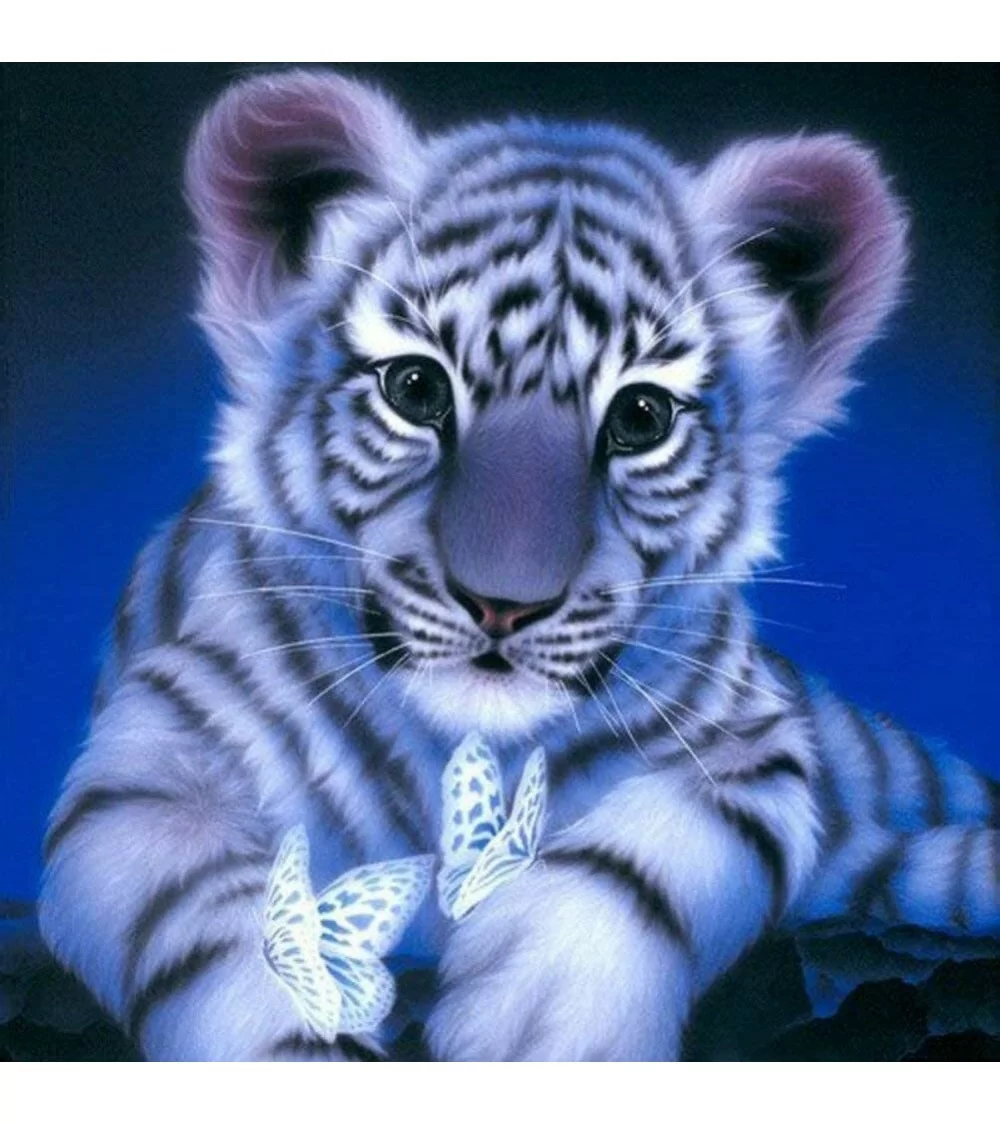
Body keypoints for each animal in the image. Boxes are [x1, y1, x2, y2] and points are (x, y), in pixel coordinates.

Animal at [38, 68, 999, 1062]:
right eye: (415, 388)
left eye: (641, 417)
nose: (503, 604)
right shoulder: (152, 763)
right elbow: (223, 925)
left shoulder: (754, 743)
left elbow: (648, 855)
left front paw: (543, 1017)